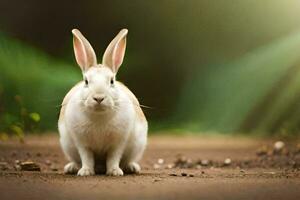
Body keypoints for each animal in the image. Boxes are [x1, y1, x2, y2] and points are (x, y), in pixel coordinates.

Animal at [58, 28, 147, 177]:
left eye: (112, 81)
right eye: (86, 81)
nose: (99, 98)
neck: (99, 116)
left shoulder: (117, 143)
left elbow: (113, 157)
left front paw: (115, 172)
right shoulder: (82, 143)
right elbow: (86, 157)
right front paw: (85, 172)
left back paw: (132, 167)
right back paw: (72, 168)